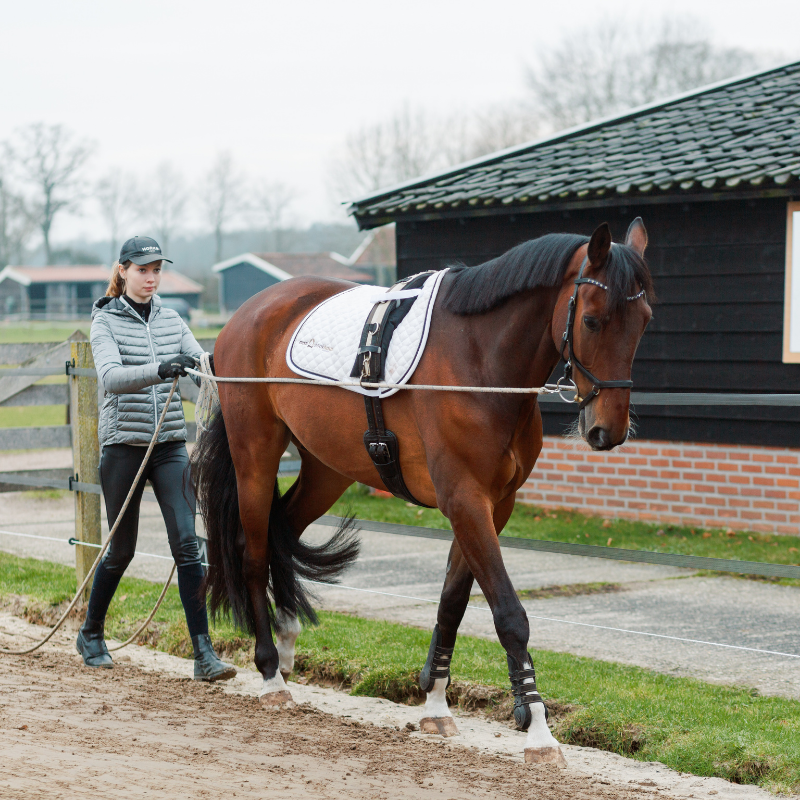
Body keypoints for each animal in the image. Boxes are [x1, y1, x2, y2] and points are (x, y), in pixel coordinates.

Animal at [191, 217, 652, 764]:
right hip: (255, 459)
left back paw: (285, 644)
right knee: (254, 551)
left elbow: (453, 603)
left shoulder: (492, 505)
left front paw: (435, 705)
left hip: (327, 469)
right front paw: (538, 729)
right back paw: (268, 674)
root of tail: (245, 316)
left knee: (284, 529)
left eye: (644, 320)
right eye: (593, 321)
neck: (479, 360)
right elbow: (508, 613)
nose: (608, 430)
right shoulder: (464, 499)